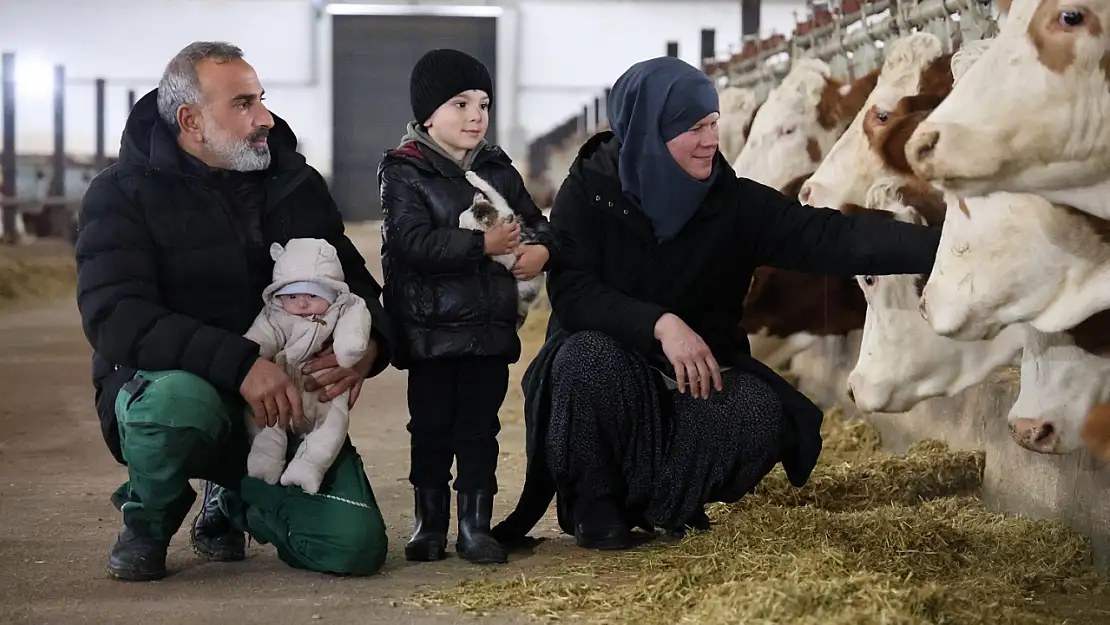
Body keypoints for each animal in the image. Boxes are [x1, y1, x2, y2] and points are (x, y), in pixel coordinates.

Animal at [459, 168, 546, 330]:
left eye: (464, 225)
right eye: (459, 221)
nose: (457, 226)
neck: (497, 219)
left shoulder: (509, 256)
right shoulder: (502, 205)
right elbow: (491, 190)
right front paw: (472, 177)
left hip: (524, 286)